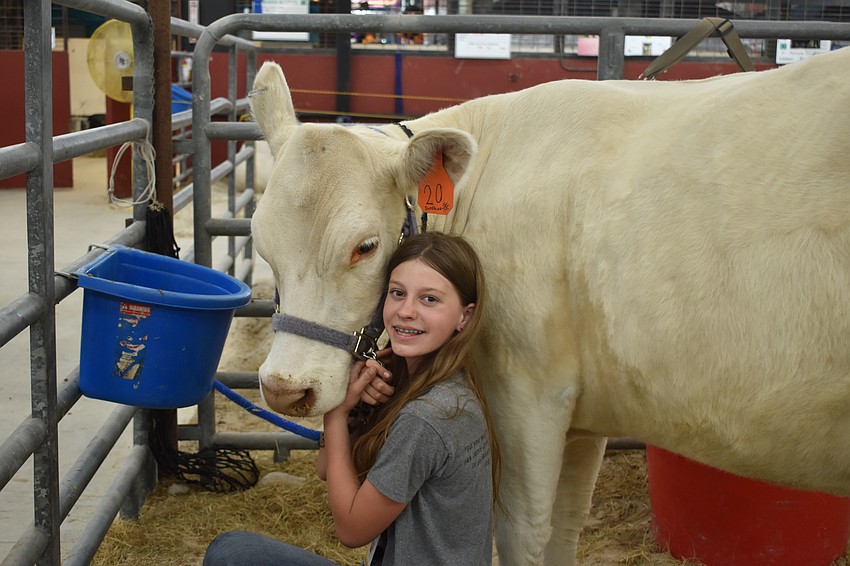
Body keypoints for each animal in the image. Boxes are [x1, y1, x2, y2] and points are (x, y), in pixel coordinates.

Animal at [248, 46, 850, 565]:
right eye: (261, 242)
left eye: (366, 246)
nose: (285, 389)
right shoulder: (584, 413)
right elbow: (565, 525)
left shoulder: (527, 391)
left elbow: (522, 531)